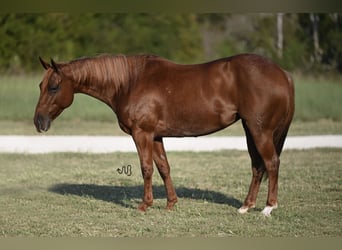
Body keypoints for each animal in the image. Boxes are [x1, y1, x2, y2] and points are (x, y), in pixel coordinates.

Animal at [35, 53, 296, 216]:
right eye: (40, 85)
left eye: (54, 87)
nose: (39, 121)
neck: (130, 82)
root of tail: (282, 73)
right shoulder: (156, 136)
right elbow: (163, 167)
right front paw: (171, 203)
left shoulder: (142, 134)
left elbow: (146, 168)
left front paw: (144, 205)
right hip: (250, 130)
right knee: (257, 166)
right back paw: (246, 206)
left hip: (260, 131)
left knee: (271, 163)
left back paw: (268, 208)